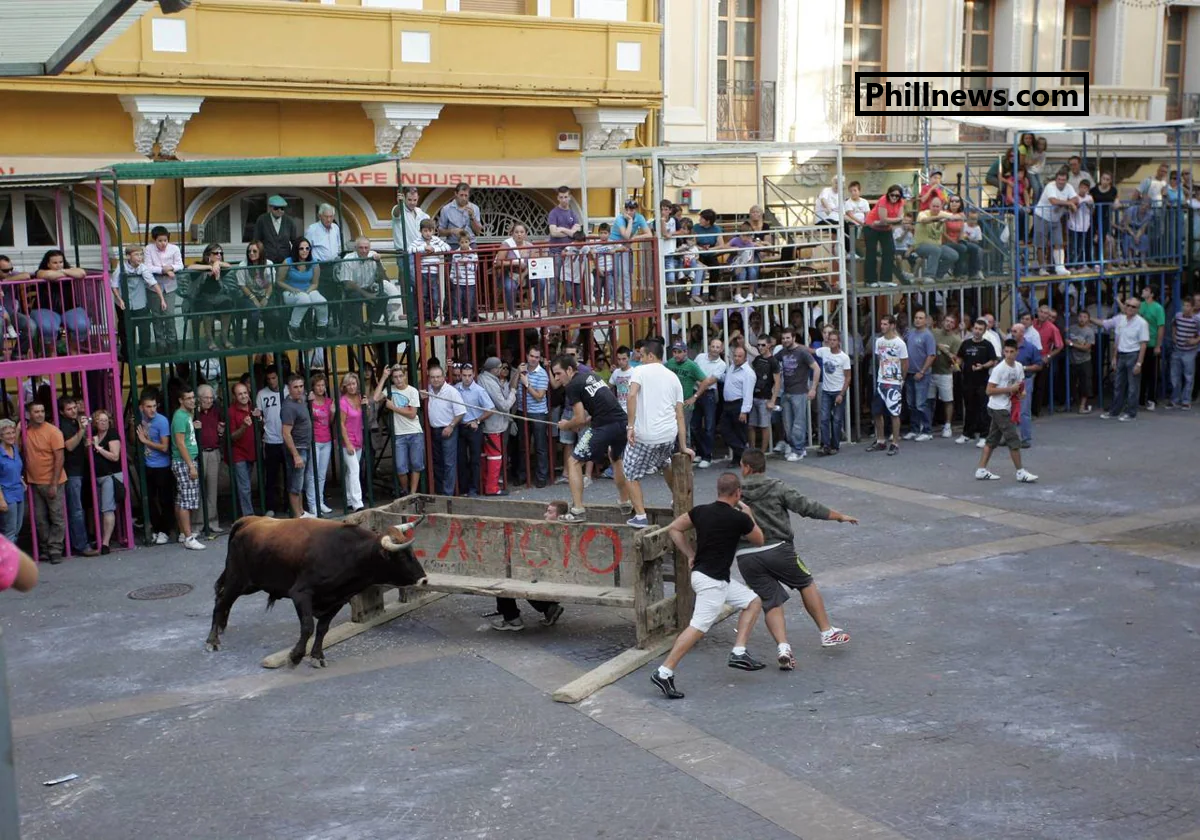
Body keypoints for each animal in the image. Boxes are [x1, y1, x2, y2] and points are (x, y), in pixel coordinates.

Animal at [206, 516, 427, 667]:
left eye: (412, 552)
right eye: (401, 556)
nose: (424, 579)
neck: (347, 553)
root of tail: (249, 520)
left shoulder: (338, 600)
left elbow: (322, 628)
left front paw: (317, 656)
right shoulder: (301, 594)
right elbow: (307, 627)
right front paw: (295, 655)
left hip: (249, 584)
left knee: (224, 601)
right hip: (238, 580)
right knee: (220, 601)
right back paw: (212, 640)